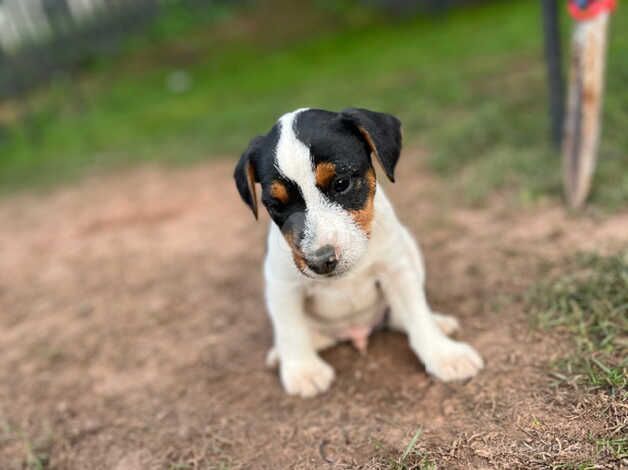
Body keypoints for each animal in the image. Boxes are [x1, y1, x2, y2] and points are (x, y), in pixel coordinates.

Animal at [233, 108, 484, 398]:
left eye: (341, 183)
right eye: (276, 205)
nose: (320, 261)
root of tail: (355, 332)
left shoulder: (396, 269)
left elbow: (417, 313)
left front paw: (444, 354)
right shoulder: (283, 286)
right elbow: (291, 329)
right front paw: (304, 371)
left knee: (398, 317)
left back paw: (438, 323)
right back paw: (282, 354)